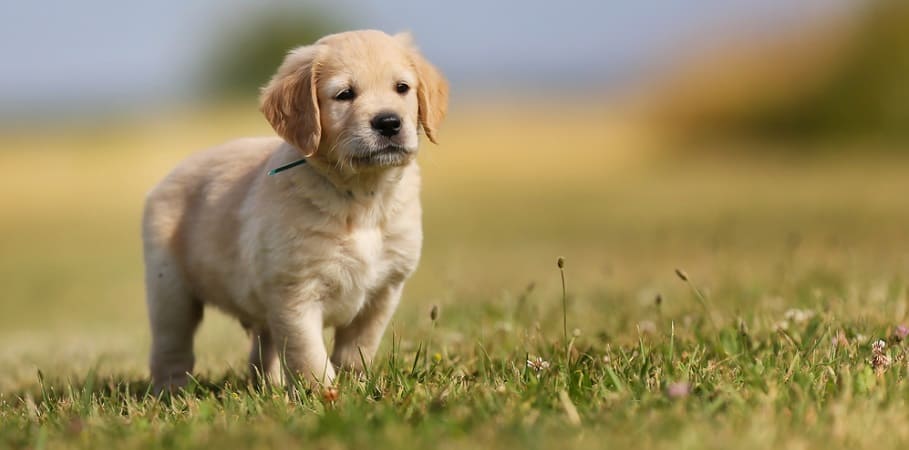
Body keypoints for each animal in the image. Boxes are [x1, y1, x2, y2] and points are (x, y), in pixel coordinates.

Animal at [141, 29, 446, 392]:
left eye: (402, 88)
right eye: (344, 95)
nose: (388, 122)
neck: (360, 196)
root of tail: (166, 178)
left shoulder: (384, 290)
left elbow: (358, 348)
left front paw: (356, 386)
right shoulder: (294, 292)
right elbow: (309, 353)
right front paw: (324, 394)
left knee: (263, 348)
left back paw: (267, 387)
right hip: (170, 292)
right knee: (171, 349)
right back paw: (173, 393)